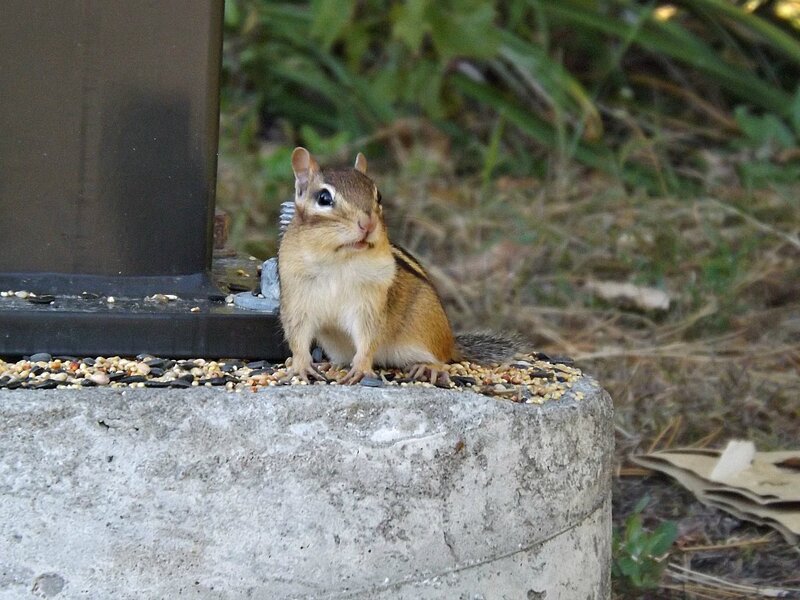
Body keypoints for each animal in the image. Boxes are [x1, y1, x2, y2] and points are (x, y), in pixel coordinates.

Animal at [277, 147, 520, 385]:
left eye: (378, 195)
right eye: (324, 198)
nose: (368, 224)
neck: (339, 259)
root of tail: (450, 341)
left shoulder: (370, 303)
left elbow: (368, 338)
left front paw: (361, 368)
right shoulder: (298, 300)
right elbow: (298, 338)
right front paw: (301, 367)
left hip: (423, 332)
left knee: (441, 359)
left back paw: (428, 367)